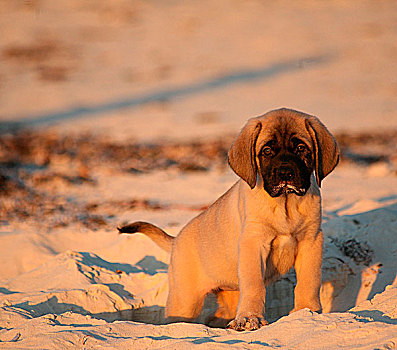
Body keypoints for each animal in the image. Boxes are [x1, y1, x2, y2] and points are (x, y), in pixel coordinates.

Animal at [117, 108, 338, 330]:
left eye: (301, 148)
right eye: (267, 151)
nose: (285, 173)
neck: (286, 203)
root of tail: (176, 239)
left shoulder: (311, 240)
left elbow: (309, 279)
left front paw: (306, 310)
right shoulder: (254, 243)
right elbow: (254, 284)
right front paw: (250, 317)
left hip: (229, 291)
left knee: (217, 316)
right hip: (185, 299)